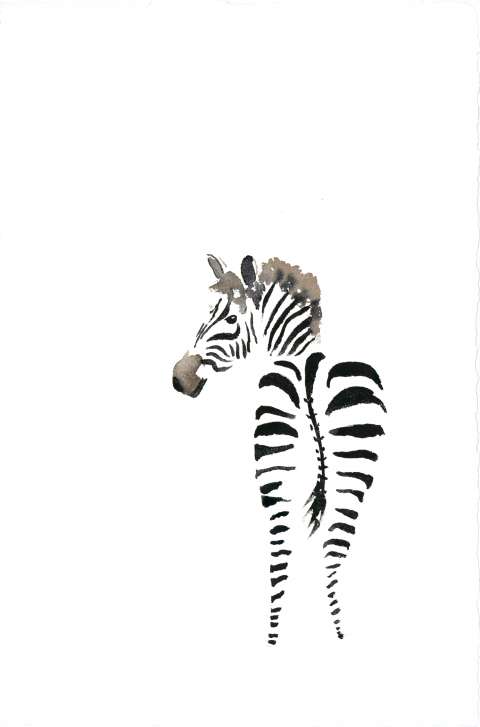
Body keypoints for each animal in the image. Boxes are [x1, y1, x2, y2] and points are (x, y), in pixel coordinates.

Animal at [172, 254, 386, 645]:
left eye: (229, 319)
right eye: (208, 312)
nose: (179, 379)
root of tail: (310, 376)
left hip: (279, 465)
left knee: (284, 553)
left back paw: (279, 637)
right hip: (349, 470)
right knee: (329, 550)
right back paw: (331, 633)